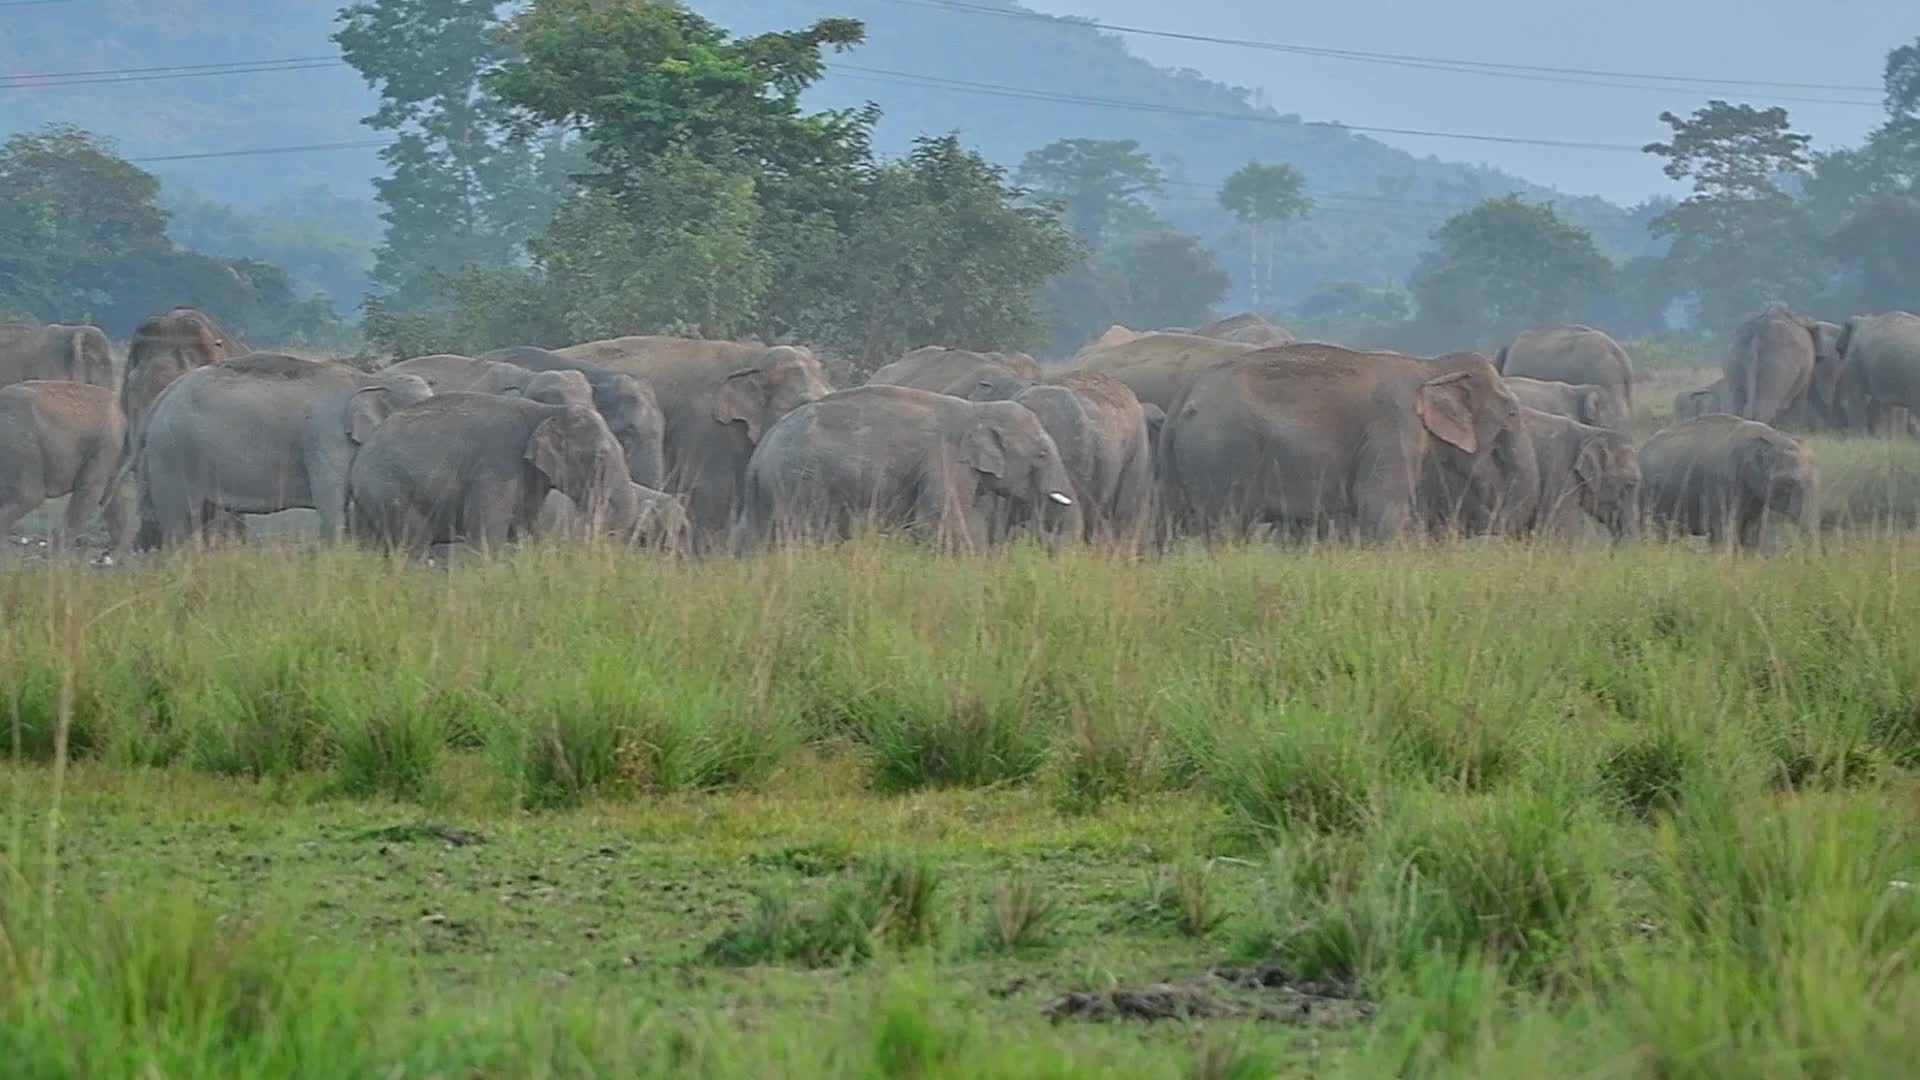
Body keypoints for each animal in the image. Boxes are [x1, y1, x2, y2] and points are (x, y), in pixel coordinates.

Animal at [135, 354, 433, 546]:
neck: (367, 380)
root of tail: (161, 398)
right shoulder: (325, 437)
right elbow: (331, 504)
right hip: (172, 454)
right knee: (181, 522)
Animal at [348, 394, 630, 555]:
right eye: (600, 457)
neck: (546, 409)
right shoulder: (497, 466)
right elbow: (486, 533)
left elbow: (523, 529)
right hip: (388, 490)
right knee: (413, 544)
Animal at [732, 385, 1078, 553]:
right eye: (1041, 454)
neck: (978, 410)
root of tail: (760, 452)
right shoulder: (944, 458)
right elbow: (940, 520)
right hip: (800, 481)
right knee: (806, 530)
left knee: (752, 533)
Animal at [1157, 343, 1522, 544]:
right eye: (1512, 413)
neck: (1429, 366)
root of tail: (1184, 398)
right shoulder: (1393, 427)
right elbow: (1379, 507)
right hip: (1223, 450)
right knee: (1227, 525)